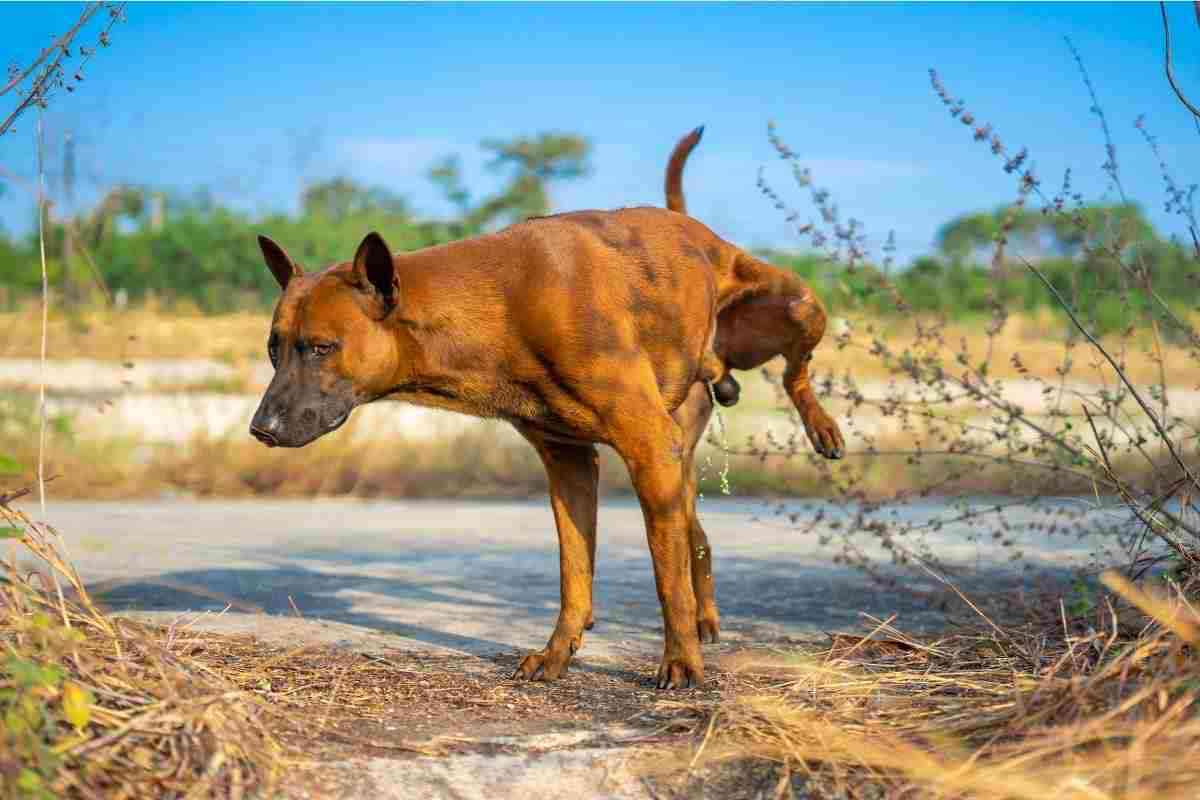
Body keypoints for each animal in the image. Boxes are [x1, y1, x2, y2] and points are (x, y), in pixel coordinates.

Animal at [247, 125, 840, 690]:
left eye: (321, 348)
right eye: (274, 348)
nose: (260, 429)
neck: (503, 304)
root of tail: (698, 232)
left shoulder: (648, 450)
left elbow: (664, 578)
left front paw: (680, 664)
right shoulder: (570, 462)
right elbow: (574, 573)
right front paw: (559, 653)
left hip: (798, 306)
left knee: (796, 370)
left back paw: (822, 428)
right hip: (682, 460)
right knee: (696, 533)